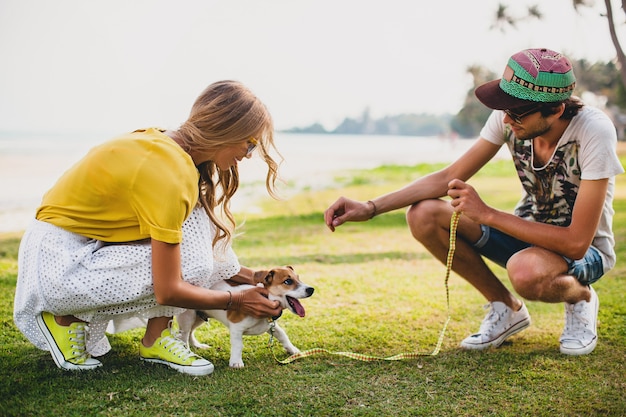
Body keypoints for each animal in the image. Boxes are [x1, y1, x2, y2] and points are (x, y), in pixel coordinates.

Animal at [176, 266, 312, 368]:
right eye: (288, 281)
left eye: (298, 278)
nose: (311, 289)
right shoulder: (236, 328)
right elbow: (238, 345)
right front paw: (236, 362)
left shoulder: (271, 326)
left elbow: (283, 335)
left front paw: (293, 350)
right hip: (187, 317)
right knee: (184, 335)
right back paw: (187, 351)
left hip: (199, 317)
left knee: (190, 332)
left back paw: (197, 345)